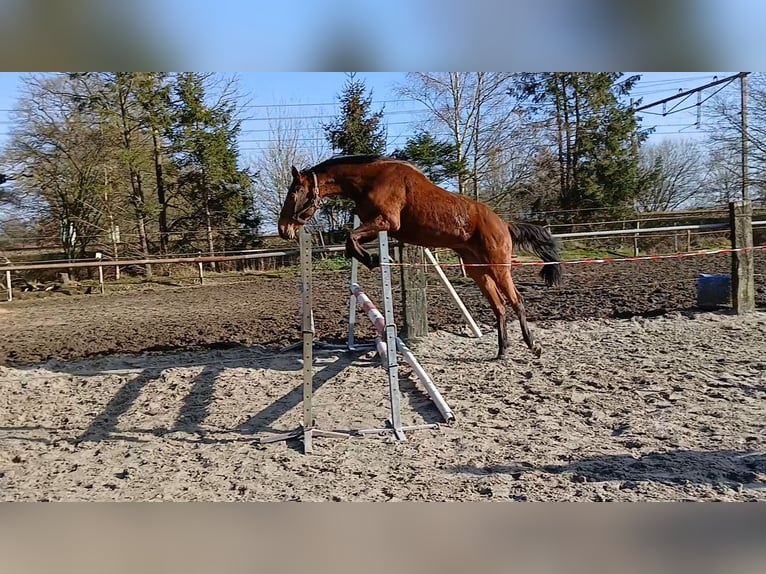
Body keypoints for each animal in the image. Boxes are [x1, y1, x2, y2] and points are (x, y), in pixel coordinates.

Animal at [278, 155, 564, 362]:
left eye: (294, 193)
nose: (283, 229)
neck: (370, 180)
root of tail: (504, 223)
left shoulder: (387, 222)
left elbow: (351, 237)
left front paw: (372, 259)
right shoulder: (377, 225)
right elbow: (351, 241)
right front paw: (369, 258)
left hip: (498, 267)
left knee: (517, 301)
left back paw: (533, 347)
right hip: (477, 270)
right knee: (500, 307)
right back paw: (502, 352)